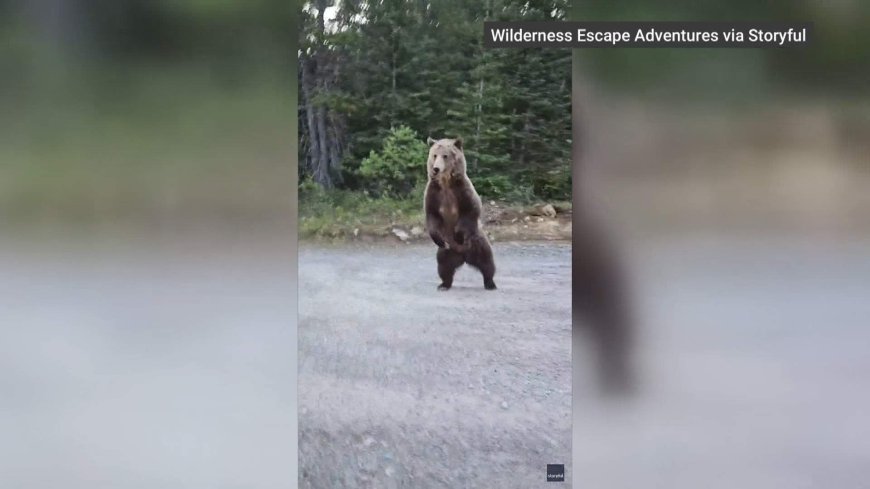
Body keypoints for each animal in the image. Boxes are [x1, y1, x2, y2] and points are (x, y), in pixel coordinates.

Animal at [423, 137, 497, 291]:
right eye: (434, 155)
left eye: (445, 155)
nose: (436, 169)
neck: (446, 183)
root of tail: (463, 256)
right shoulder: (434, 194)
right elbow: (432, 216)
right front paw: (437, 238)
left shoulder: (462, 191)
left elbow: (471, 210)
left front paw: (458, 234)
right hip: (446, 251)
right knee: (444, 266)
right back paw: (444, 284)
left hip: (477, 242)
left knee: (487, 262)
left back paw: (490, 283)